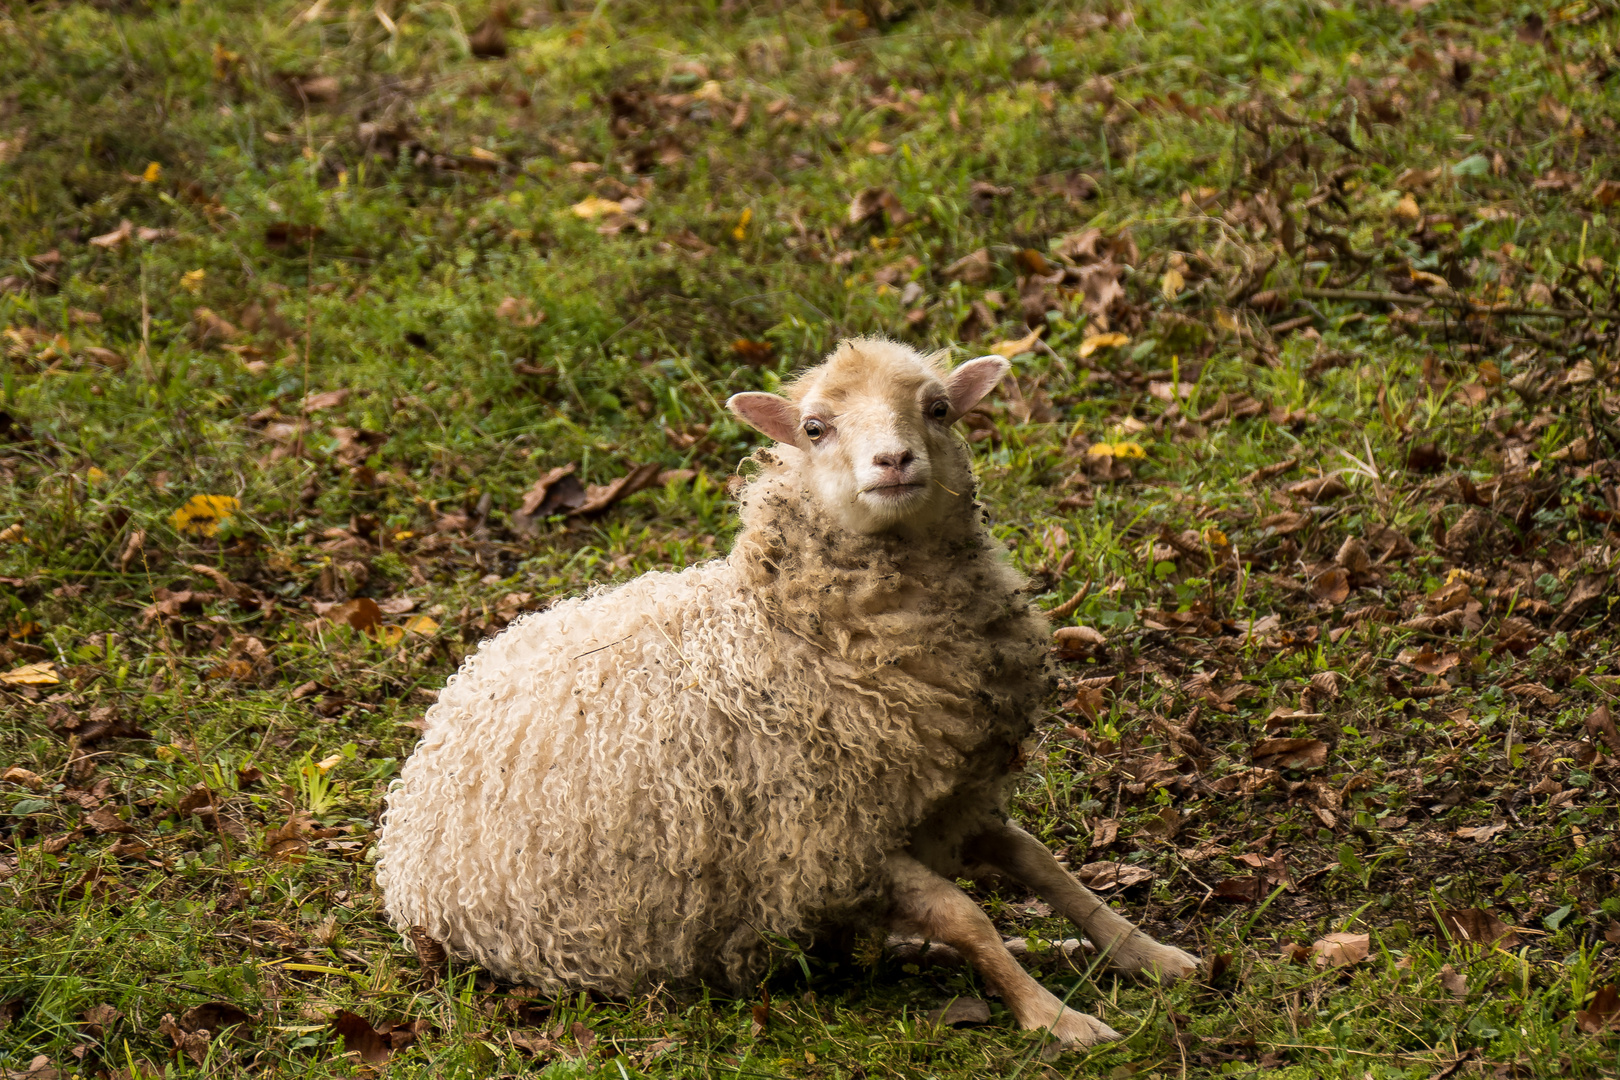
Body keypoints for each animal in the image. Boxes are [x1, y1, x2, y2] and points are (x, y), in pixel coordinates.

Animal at [372, 340, 1198, 1049]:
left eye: (938, 409)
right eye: (813, 427)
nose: (894, 460)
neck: (793, 634)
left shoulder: (945, 803)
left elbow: (1042, 864)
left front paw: (1146, 954)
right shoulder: (830, 843)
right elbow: (966, 919)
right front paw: (1053, 1017)